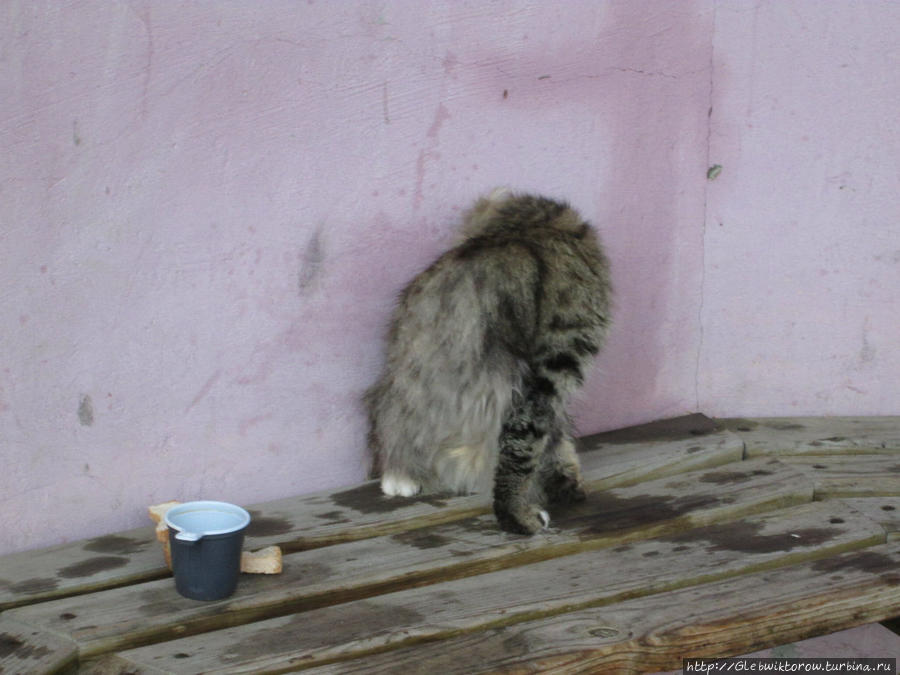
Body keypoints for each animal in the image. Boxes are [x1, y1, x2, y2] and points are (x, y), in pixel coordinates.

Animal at [366, 189, 612, 532]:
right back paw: (520, 513)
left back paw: (400, 477)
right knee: (520, 445)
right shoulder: (557, 362)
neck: (524, 227)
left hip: (404, 377)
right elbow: (543, 443)